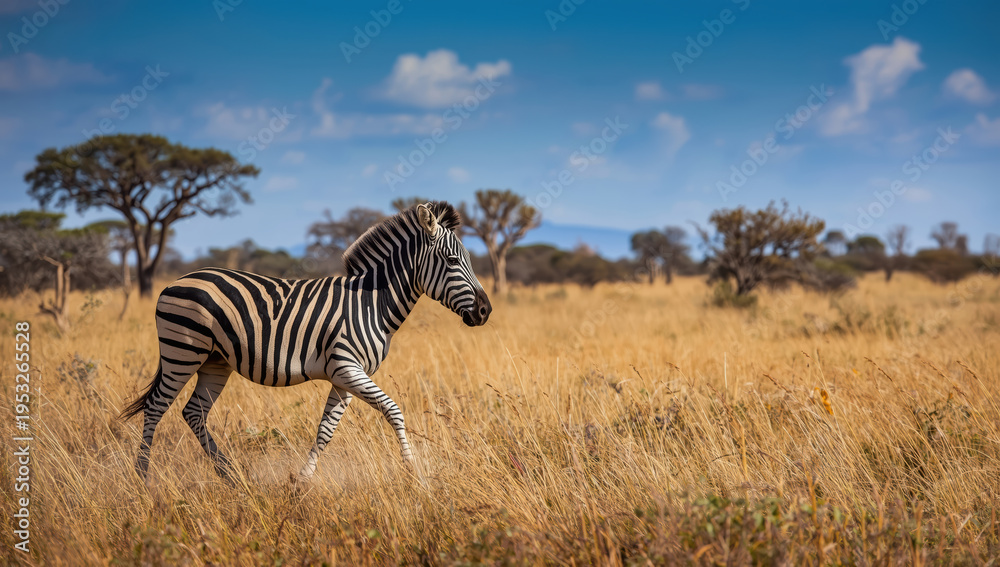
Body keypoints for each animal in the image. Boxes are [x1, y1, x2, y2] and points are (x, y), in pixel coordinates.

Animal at [119, 201, 491, 481]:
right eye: (452, 260)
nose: (485, 311)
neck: (372, 302)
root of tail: (173, 283)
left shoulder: (345, 377)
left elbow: (326, 430)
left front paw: (302, 480)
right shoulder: (347, 367)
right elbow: (394, 410)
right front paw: (414, 472)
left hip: (214, 361)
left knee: (193, 412)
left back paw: (231, 476)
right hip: (182, 351)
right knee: (156, 407)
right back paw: (143, 478)